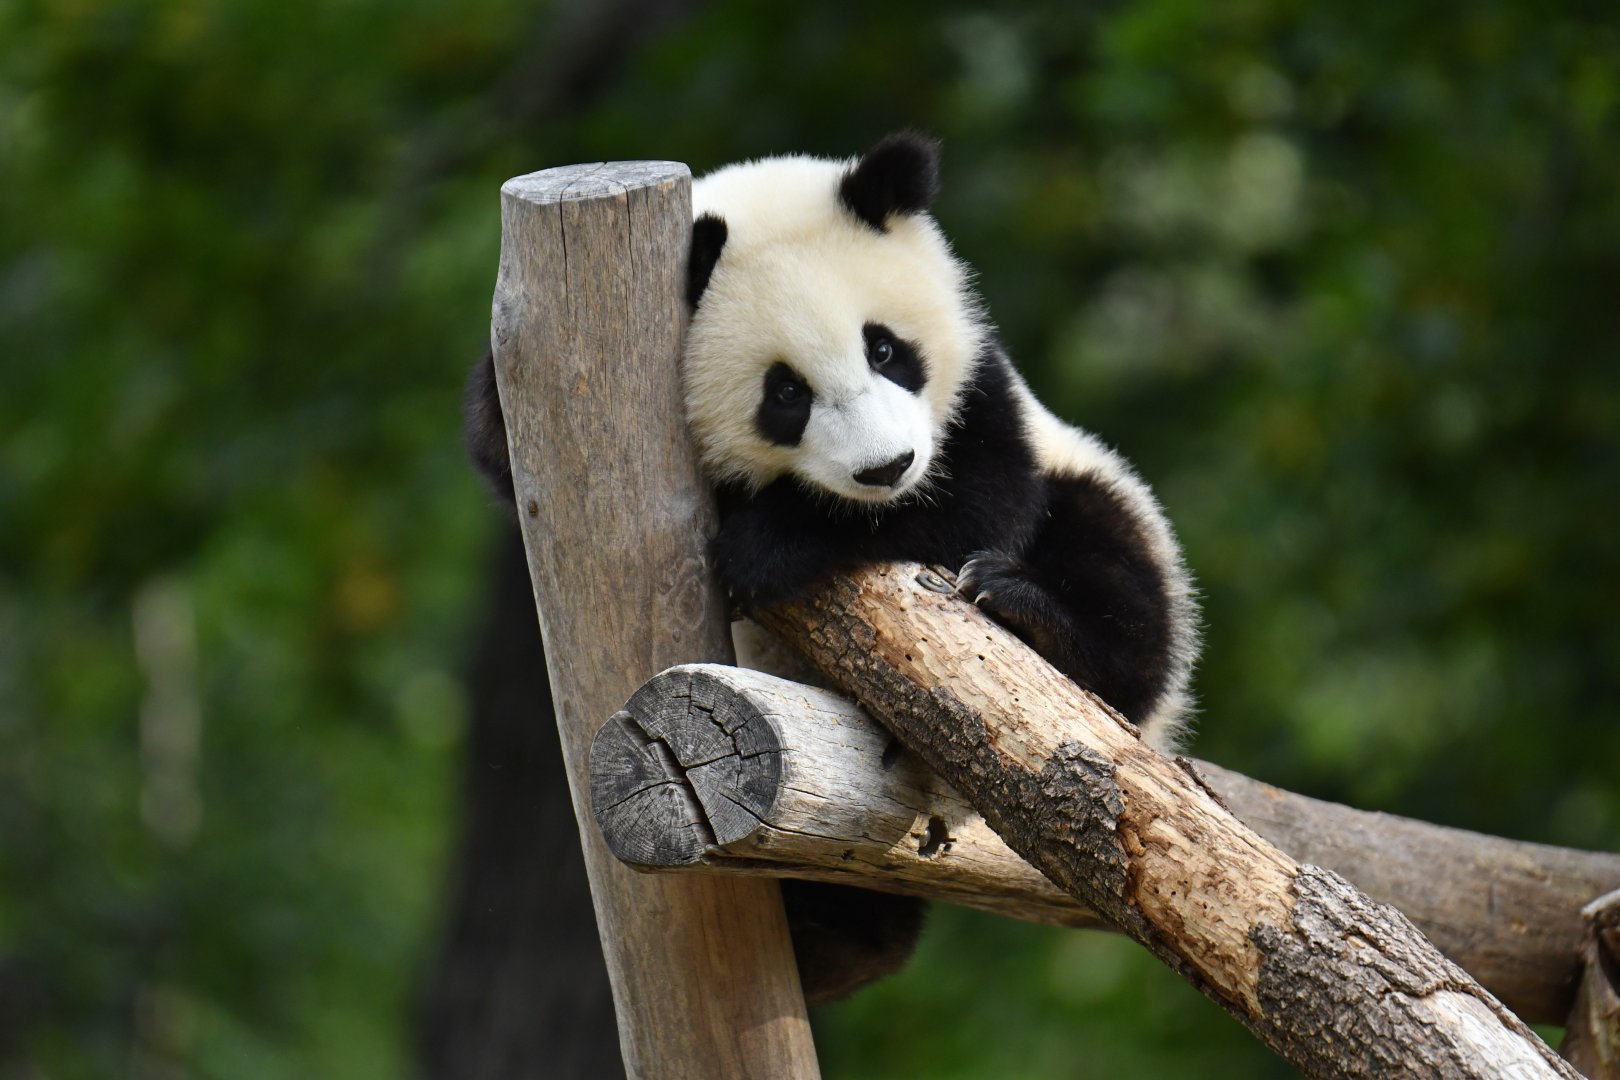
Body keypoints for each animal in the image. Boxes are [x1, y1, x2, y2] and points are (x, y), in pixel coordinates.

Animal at [465, 131, 1199, 1001]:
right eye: (785, 393)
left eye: (884, 348)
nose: (887, 467)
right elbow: (506, 444)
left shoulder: (982, 398)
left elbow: (977, 500)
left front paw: (768, 547)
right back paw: (827, 945)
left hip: (1104, 509)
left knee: (1122, 589)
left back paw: (1027, 614)